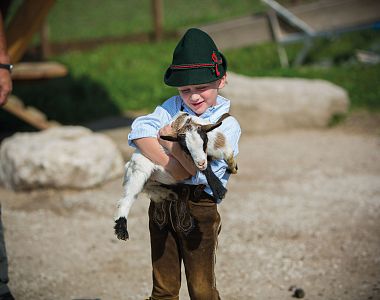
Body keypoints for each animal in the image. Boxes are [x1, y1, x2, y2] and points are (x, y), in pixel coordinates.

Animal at [113, 112, 238, 241]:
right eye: (185, 148)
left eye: (204, 142)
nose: (201, 163)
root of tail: (128, 164)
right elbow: (206, 168)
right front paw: (219, 190)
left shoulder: (219, 145)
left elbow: (228, 155)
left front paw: (232, 168)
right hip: (139, 171)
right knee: (127, 198)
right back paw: (122, 229)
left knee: (148, 187)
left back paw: (167, 194)